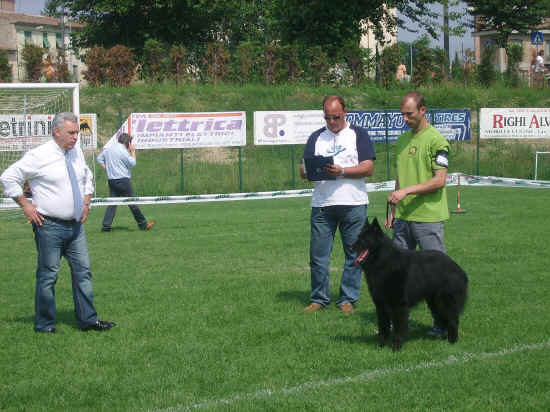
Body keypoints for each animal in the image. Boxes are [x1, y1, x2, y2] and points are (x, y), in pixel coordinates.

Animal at [354, 217, 470, 350]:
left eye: (364, 239)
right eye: (358, 236)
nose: (351, 247)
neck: (383, 261)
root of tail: (458, 268)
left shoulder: (399, 305)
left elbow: (399, 327)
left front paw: (396, 347)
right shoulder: (381, 305)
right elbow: (383, 327)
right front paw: (381, 346)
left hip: (445, 302)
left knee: (453, 320)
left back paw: (452, 341)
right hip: (434, 303)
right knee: (444, 320)